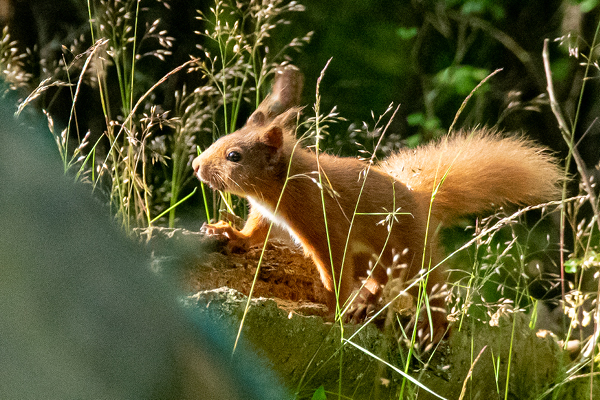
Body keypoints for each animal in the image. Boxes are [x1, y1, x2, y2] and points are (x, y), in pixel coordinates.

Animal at [192, 66, 564, 344]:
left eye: (234, 156)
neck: (280, 188)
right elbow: (255, 233)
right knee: (381, 279)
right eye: (221, 140)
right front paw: (230, 234)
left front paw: (334, 308)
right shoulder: (269, 216)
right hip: (375, 257)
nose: (195, 165)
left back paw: (433, 324)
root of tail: (419, 199)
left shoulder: (321, 219)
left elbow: (334, 268)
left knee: (431, 284)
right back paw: (367, 302)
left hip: (411, 249)